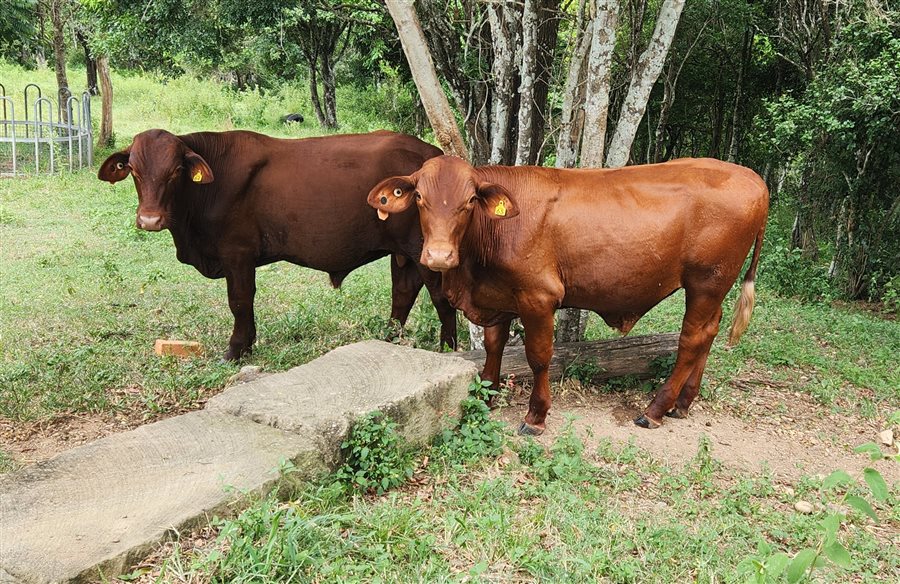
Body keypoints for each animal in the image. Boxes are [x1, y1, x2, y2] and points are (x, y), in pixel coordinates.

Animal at [98, 128, 458, 358]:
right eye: (134, 170)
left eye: (175, 171)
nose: (149, 220)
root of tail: (432, 153)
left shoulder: (237, 253)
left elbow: (240, 300)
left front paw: (236, 349)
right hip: (402, 251)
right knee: (403, 292)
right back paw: (388, 339)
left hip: (423, 249)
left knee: (441, 297)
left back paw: (449, 348)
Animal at [370, 155, 768, 434]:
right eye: (420, 197)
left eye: (469, 201)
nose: (439, 256)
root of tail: (753, 179)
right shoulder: (498, 296)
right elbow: (494, 345)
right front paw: (488, 394)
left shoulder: (538, 295)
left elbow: (538, 357)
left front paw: (536, 415)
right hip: (713, 289)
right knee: (709, 333)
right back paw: (682, 403)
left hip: (705, 283)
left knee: (691, 340)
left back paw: (655, 409)